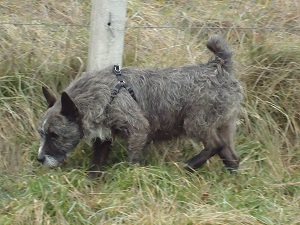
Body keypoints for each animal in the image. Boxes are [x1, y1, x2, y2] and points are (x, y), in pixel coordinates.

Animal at [38, 35, 244, 174]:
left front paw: (133, 178)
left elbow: (133, 160)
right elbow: (96, 166)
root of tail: (218, 66)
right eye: (41, 134)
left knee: (215, 145)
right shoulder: (104, 139)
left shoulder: (138, 130)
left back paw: (190, 165)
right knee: (231, 157)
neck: (103, 93)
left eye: (54, 135)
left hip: (195, 123)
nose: (40, 158)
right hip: (223, 126)